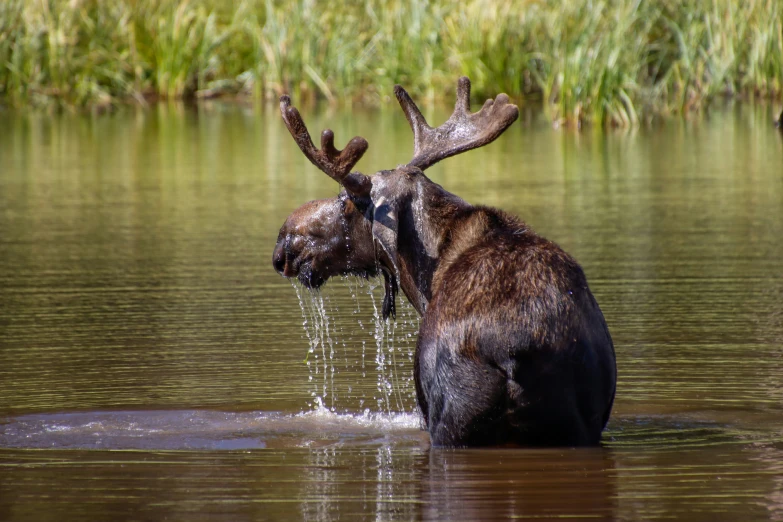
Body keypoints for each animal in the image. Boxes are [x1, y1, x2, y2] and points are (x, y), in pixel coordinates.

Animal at [276, 78, 620, 446]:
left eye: (344, 202)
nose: (284, 246)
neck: (428, 272)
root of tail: (512, 351)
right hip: (578, 421)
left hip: (451, 416)